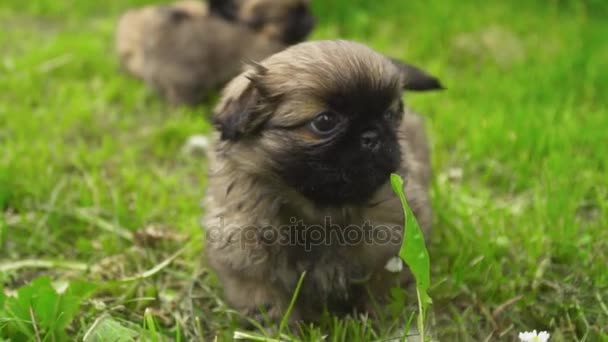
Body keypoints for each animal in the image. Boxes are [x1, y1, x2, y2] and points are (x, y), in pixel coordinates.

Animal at [204, 40, 442, 324]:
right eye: (325, 121)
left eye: (388, 115)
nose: (372, 135)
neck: (322, 211)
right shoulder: (247, 261)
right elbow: (269, 303)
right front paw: (284, 328)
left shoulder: (390, 251)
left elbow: (382, 291)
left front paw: (378, 321)